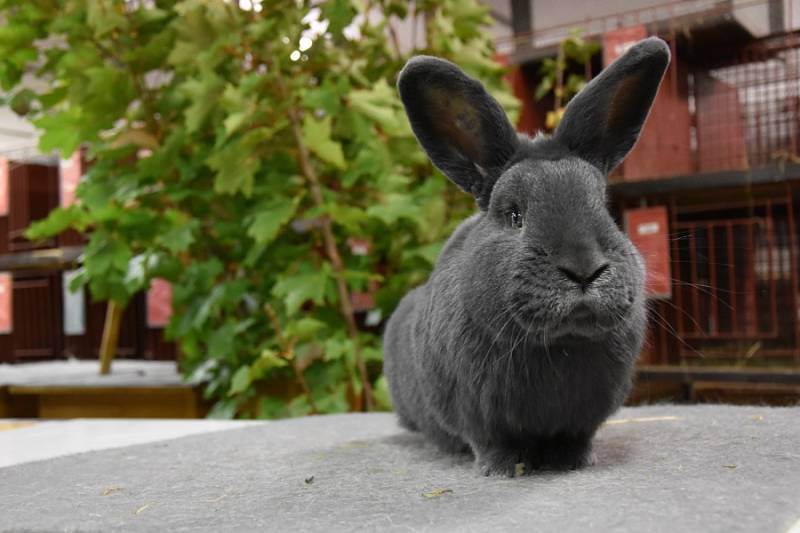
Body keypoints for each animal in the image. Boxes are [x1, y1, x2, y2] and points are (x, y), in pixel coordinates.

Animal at [382, 39, 668, 476]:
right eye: (515, 215)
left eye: (603, 206)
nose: (583, 269)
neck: (560, 344)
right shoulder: (479, 417)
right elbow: (493, 444)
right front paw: (502, 469)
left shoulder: (580, 421)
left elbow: (575, 440)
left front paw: (575, 462)